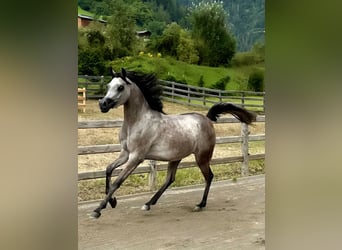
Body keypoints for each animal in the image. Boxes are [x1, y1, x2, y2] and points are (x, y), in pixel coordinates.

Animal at [91, 67, 256, 218]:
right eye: (108, 85)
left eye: (120, 87)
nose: (103, 104)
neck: (137, 122)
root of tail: (207, 119)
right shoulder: (125, 153)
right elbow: (108, 170)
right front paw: (112, 201)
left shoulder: (136, 157)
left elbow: (117, 182)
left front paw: (98, 210)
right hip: (176, 157)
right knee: (170, 179)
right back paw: (148, 204)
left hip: (202, 158)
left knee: (208, 176)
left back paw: (200, 205)